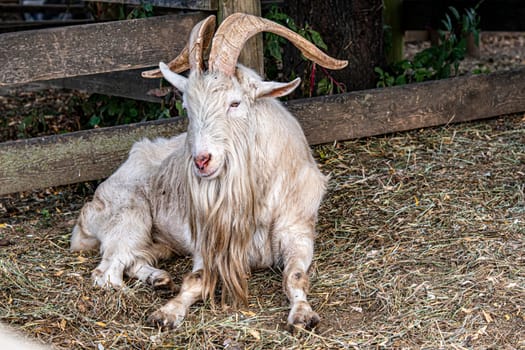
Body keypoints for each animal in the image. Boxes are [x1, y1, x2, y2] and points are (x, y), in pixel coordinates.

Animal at [70, 13, 348, 330]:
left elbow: (296, 275)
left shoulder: (299, 231)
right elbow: (196, 279)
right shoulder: (208, 242)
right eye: (187, 107)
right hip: (129, 217)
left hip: (159, 242)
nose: (201, 160)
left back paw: (159, 278)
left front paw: (302, 316)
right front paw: (167, 313)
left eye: (235, 103)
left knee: (134, 260)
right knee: (107, 272)